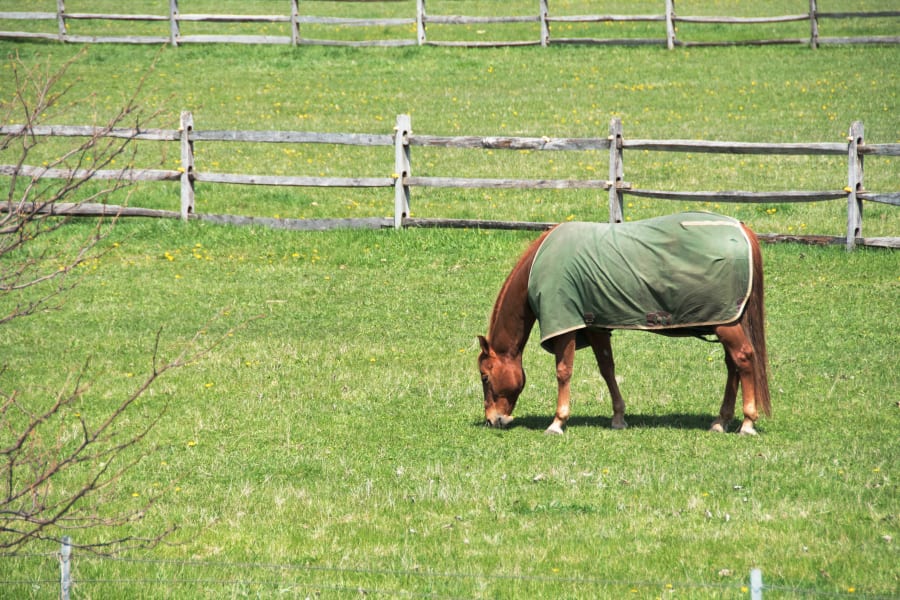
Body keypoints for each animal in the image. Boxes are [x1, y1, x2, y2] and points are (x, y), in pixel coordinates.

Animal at [478, 212, 772, 436]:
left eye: (484, 376)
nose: (492, 420)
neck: (539, 266)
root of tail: (742, 229)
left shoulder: (565, 326)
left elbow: (563, 372)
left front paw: (557, 422)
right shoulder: (594, 325)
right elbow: (607, 369)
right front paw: (618, 417)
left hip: (726, 324)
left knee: (744, 359)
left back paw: (747, 422)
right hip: (726, 320)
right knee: (733, 366)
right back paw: (722, 421)